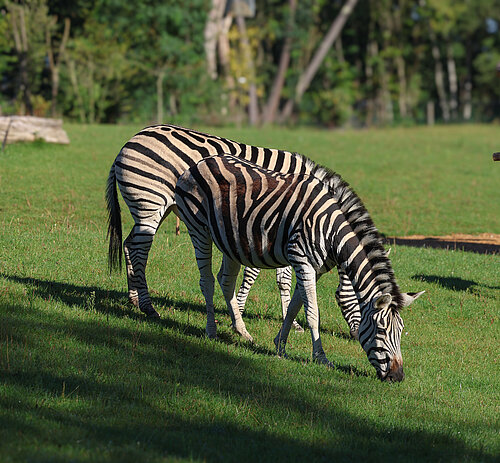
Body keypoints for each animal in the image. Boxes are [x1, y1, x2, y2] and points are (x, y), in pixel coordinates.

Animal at [104, 123, 360, 334]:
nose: (354, 336)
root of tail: (130, 141)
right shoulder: (268, 229)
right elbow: (257, 274)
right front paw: (240, 312)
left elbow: (282, 279)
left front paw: (290, 320)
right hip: (150, 202)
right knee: (139, 250)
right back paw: (148, 306)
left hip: (153, 208)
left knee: (129, 244)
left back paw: (134, 298)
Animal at [174, 154, 424, 382]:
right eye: (381, 330)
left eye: (401, 331)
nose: (398, 376)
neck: (332, 231)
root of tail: (202, 161)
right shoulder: (301, 259)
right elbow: (312, 313)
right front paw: (321, 358)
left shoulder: (316, 268)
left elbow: (295, 307)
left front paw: (279, 347)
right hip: (199, 230)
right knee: (207, 281)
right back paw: (211, 331)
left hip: (231, 241)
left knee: (226, 281)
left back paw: (242, 331)